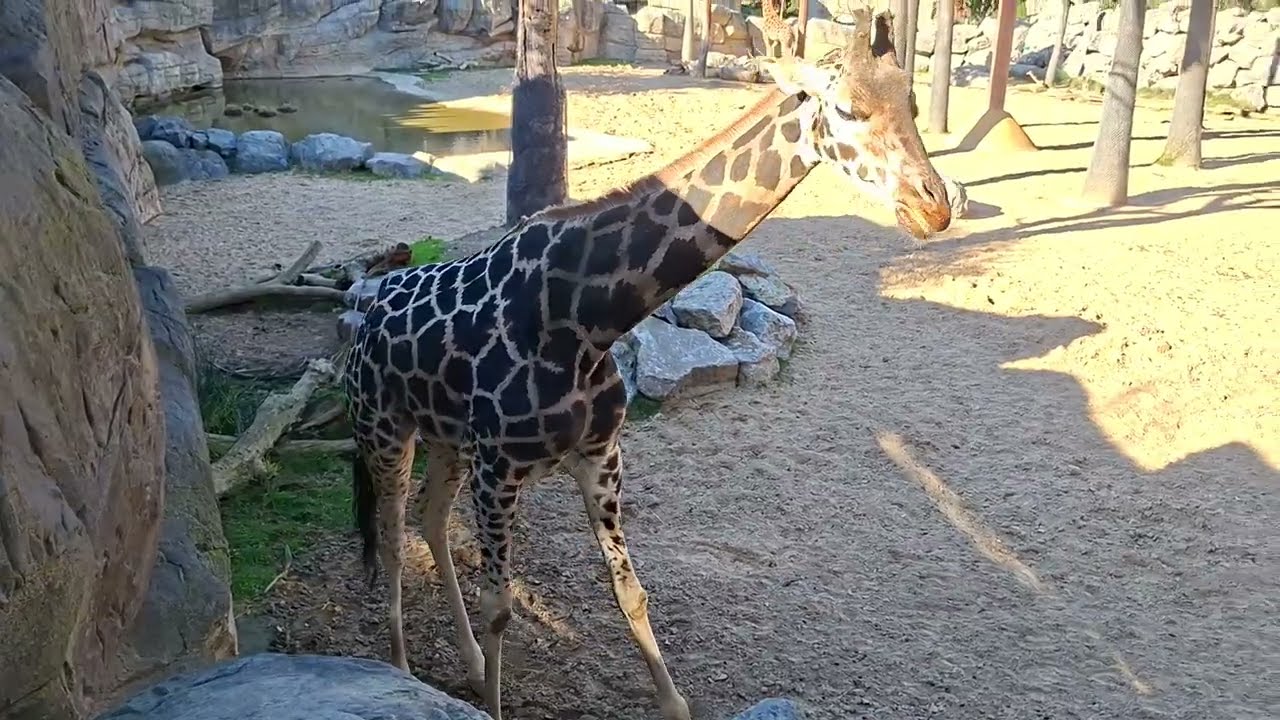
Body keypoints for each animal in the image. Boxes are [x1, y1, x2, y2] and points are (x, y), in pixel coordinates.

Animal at [344, 9, 950, 720]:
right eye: (848, 108)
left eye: (912, 102)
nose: (935, 206)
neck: (588, 320)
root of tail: (361, 319)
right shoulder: (500, 468)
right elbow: (501, 605)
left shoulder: (599, 452)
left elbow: (629, 589)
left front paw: (673, 701)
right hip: (386, 433)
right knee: (391, 539)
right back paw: (400, 669)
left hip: (445, 440)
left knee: (430, 520)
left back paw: (463, 664)